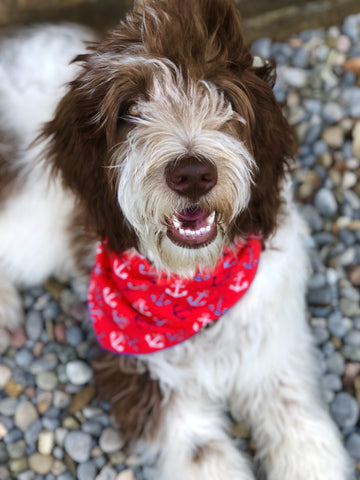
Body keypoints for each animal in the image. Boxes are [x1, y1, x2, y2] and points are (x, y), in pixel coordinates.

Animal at [0, 0, 352, 480]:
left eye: (223, 96)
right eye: (131, 107)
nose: (192, 174)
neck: (193, 283)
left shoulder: (272, 338)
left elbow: (290, 405)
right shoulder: (140, 369)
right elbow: (200, 449)